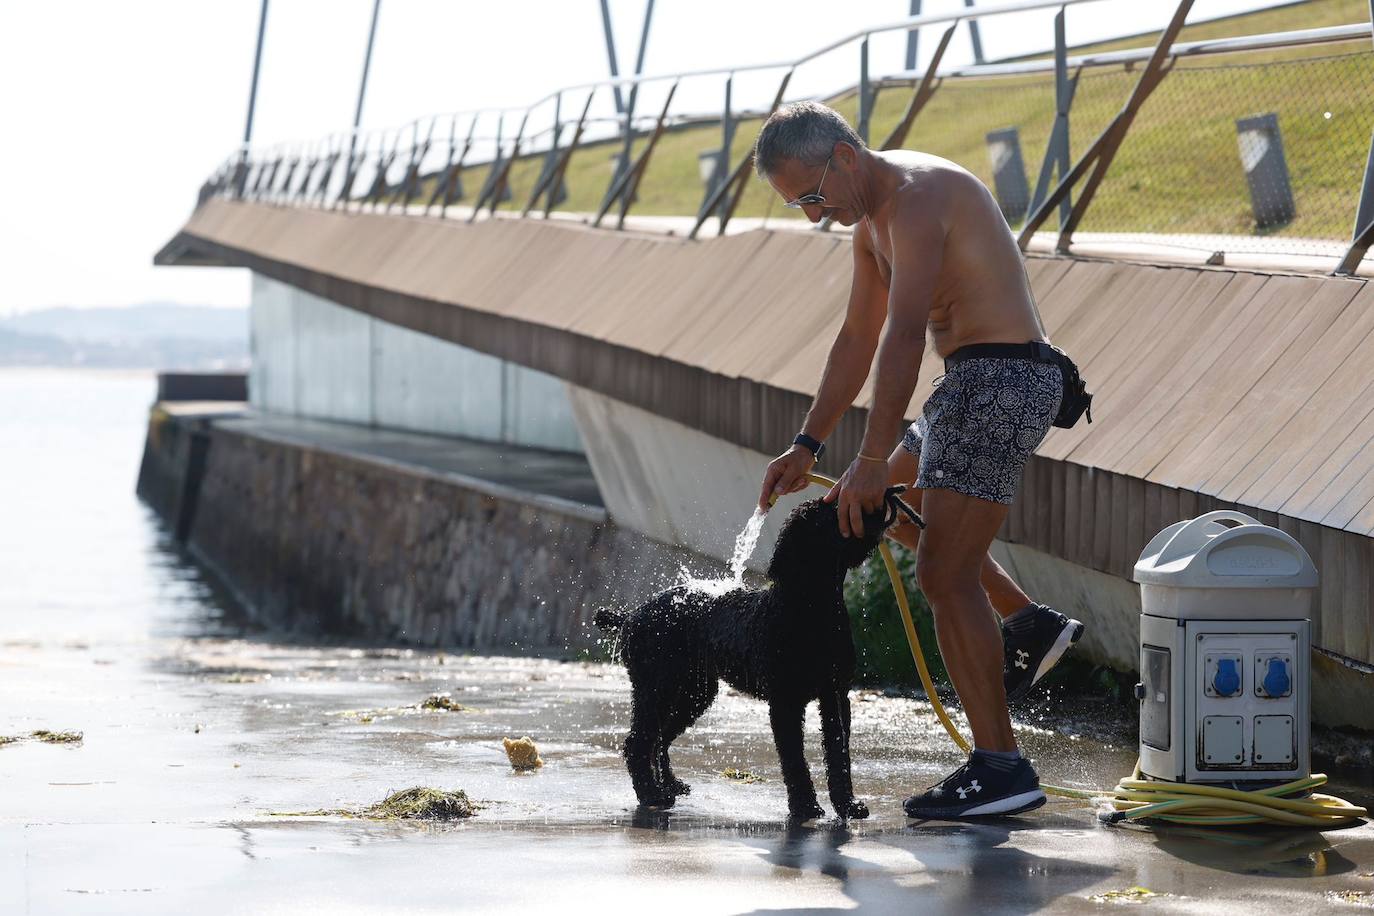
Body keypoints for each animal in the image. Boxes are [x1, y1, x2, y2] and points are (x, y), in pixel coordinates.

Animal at [593, 491, 923, 818]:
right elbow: (794, 758)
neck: (809, 608)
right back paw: (651, 794)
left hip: (692, 693)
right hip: (655, 688)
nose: (877, 501)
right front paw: (805, 806)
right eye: (827, 513)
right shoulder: (785, 702)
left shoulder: (836, 695)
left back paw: (670, 786)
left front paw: (847, 805)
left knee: (659, 738)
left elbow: (838, 752)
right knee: (638, 742)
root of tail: (632, 615)